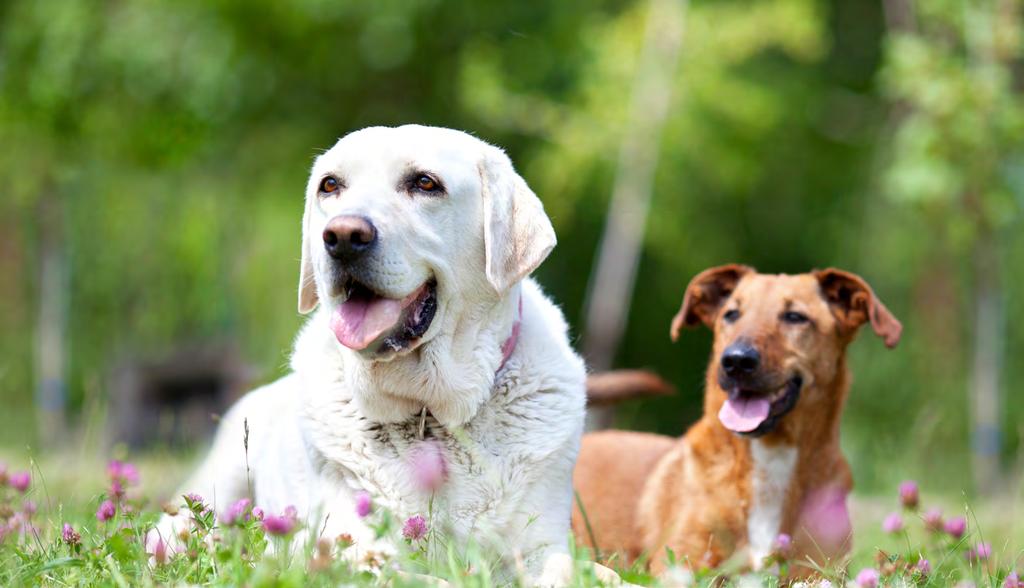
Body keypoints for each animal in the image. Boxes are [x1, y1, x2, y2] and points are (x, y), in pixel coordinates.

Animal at [148, 125, 589, 585]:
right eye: (330, 186)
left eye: (425, 183)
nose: (342, 236)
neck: (428, 415)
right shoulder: (351, 547)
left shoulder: (542, 545)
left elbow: (572, 569)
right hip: (215, 484)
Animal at [573, 266, 901, 577]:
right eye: (731, 314)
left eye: (795, 317)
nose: (736, 361)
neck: (770, 458)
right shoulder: (681, 565)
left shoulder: (821, 571)